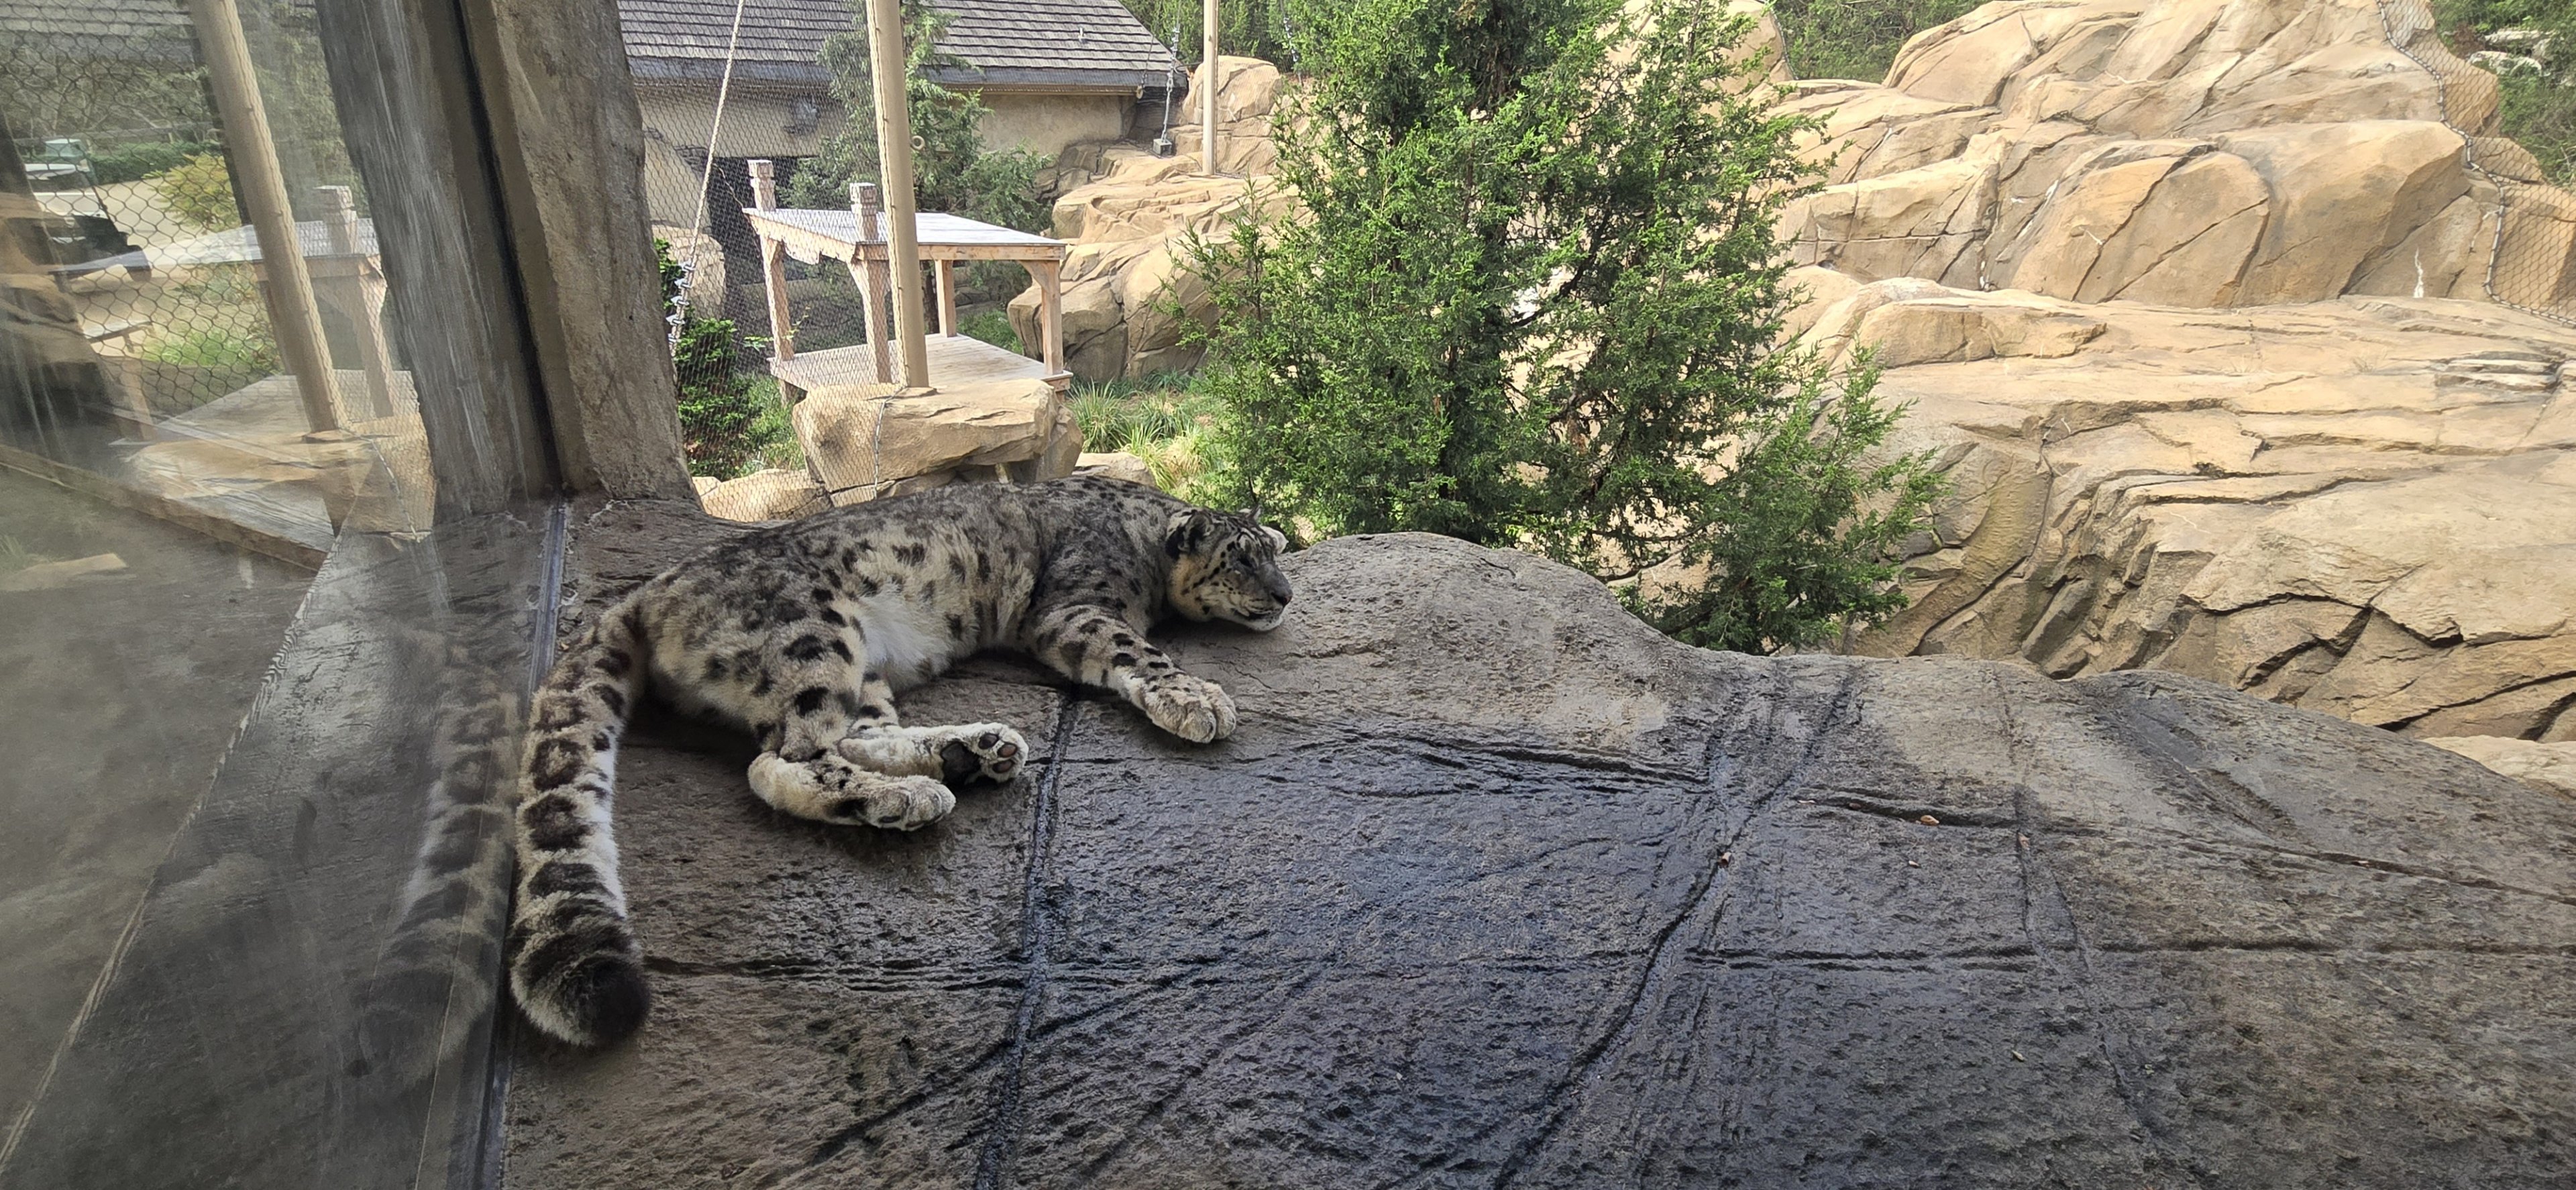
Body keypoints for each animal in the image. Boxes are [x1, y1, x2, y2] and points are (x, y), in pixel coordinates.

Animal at [508, 474, 1293, 1047]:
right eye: (1242, 557)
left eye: (1275, 551)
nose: (1286, 594)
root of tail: (648, 589)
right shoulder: (1077, 607)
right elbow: (1137, 651)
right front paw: (1196, 698)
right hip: (811, 641)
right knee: (784, 757)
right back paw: (908, 797)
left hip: (864, 671)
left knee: (854, 734)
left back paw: (973, 752)